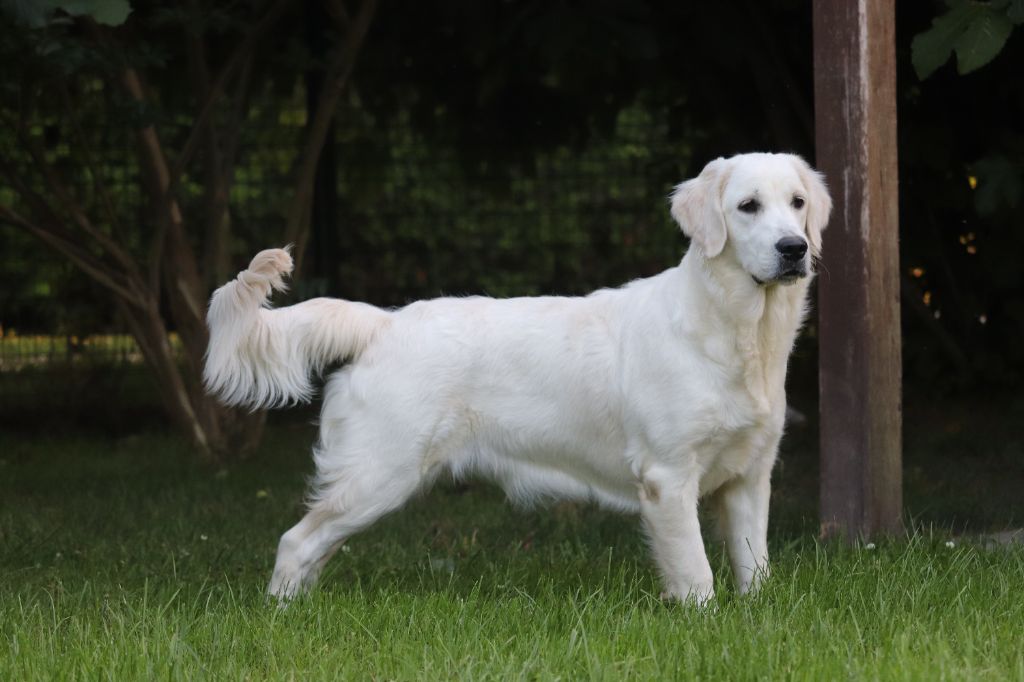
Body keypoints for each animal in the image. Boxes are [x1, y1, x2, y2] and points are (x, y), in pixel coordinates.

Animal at [201, 152, 831, 602]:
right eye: (747, 205)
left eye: (797, 203)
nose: (794, 248)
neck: (738, 332)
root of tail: (383, 322)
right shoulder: (667, 477)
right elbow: (697, 575)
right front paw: (703, 621)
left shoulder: (749, 477)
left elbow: (755, 567)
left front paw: (756, 618)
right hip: (378, 474)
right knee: (295, 541)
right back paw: (281, 616)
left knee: (316, 548)